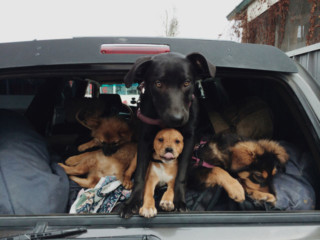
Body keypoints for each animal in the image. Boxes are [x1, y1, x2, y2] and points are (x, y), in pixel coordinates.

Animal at [121, 52, 216, 218]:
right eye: (158, 83)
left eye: (187, 83)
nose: (177, 119)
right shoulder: (145, 139)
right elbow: (140, 174)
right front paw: (133, 202)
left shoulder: (189, 139)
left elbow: (181, 175)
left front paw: (179, 200)